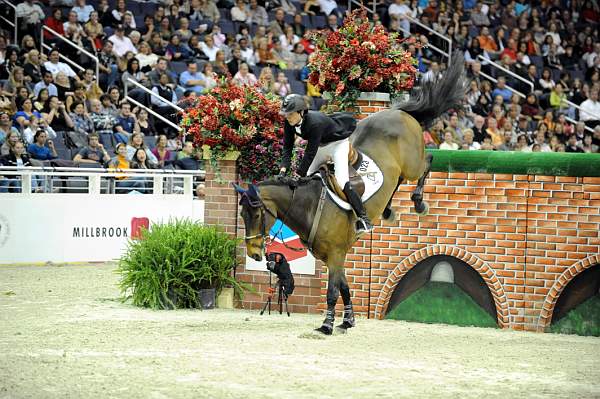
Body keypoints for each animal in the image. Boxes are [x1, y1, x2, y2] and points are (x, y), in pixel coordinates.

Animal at [234, 53, 468, 334]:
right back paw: (387, 211)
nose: (254, 254)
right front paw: (348, 320)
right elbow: (344, 288)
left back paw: (419, 202)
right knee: (398, 180)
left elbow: (332, 292)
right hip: (398, 171)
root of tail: (399, 112)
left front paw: (327, 325)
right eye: (242, 215)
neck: (310, 206)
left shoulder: (336, 254)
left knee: (427, 162)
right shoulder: (334, 256)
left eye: (257, 215)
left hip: (412, 163)